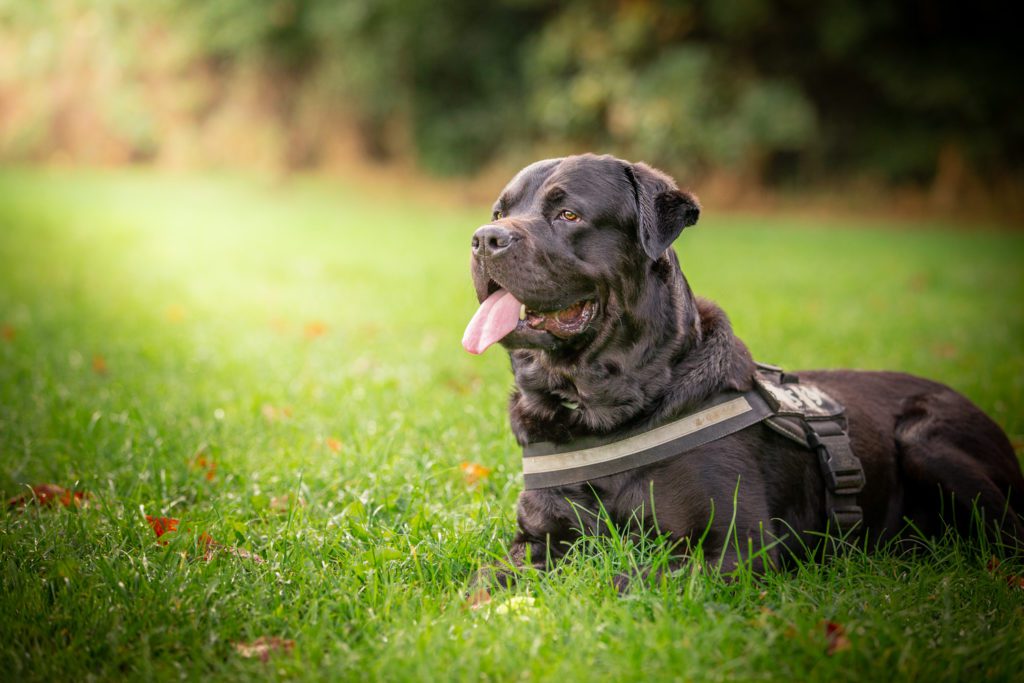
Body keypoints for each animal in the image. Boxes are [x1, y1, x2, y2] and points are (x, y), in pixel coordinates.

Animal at [464, 154, 1024, 577]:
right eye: (499, 210)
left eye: (569, 215)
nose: (486, 237)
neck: (602, 410)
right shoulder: (535, 539)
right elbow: (488, 577)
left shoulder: (738, 546)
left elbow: (626, 576)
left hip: (928, 443)